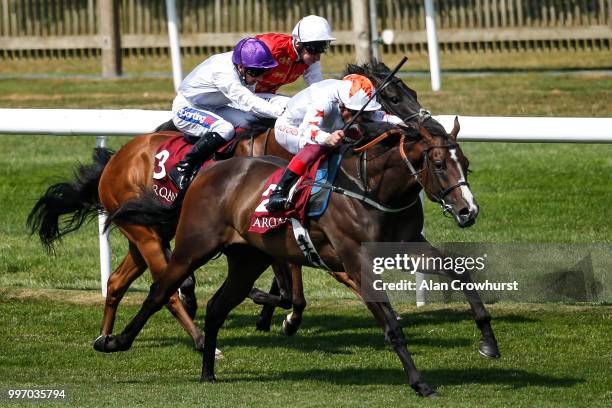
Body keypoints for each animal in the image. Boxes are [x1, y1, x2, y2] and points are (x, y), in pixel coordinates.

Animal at [94, 118, 498, 398]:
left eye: (464, 161)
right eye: (439, 164)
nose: (469, 211)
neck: (371, 190)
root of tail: (203, 174)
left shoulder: (407, 246)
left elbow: (460, 273)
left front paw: (488, 342)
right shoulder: (356, 261)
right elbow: (391, 326)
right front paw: (419, 382)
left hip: (247, 258)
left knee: (216, 306)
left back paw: (208, 370)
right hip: (193, 246)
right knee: (160, 292)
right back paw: (113, 341)